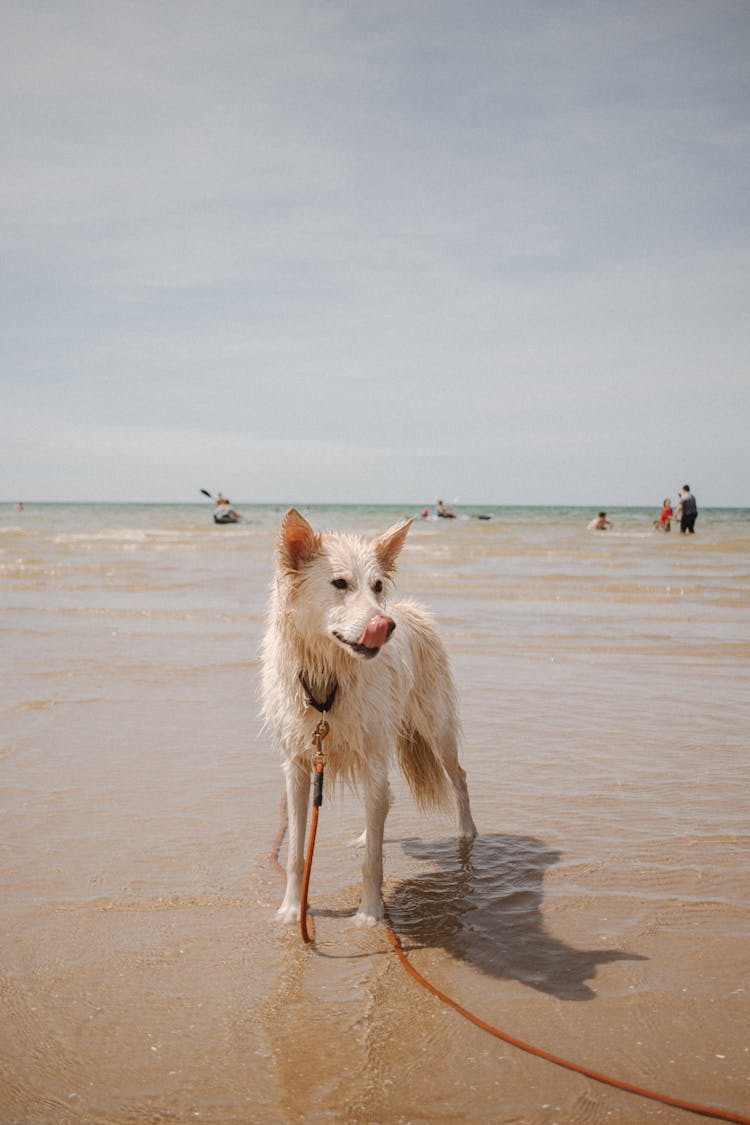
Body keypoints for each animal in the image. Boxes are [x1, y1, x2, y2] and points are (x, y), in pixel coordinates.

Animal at [260, 515, 479, 927]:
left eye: (377, 586)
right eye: (339, 583)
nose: (385, 625)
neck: (330, 675)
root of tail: (410, 610)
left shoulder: (373, 755)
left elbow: (373, 861)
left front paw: (369, 914)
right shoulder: (298, 765)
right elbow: (296, 853)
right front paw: (291, 911)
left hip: (434, 727)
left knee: (457, 777)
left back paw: (467, 833)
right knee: (386, 799)